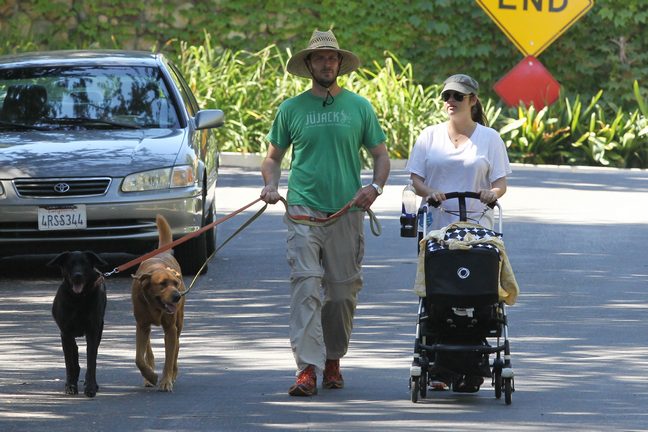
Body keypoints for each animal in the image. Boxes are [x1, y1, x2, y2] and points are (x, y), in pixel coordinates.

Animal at [48, 251, 107, 396]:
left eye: (85, 264)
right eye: (70, 264)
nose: (77, 276)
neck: (78, 299)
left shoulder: (93, 331)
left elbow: (91, 360)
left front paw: (91, 387)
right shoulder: (65, 332)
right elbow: (69, 361)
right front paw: (70, 385)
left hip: (100, 329)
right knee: (73, 351)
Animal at [130, 214, 185, 394]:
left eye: (175, 283)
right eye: (162, 284)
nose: (177, 296)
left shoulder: (170, 329)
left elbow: (169, 358)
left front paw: (166, 381)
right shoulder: (141, 326)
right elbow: (139, 359)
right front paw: (151, 376)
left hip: (179, 322)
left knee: (176, 348)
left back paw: (173, 373)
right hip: (143, 326)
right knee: (148, 350)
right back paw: (149, 376)